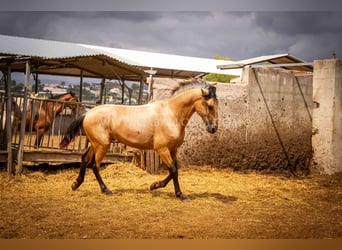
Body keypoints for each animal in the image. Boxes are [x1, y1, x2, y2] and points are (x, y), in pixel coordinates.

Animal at [59, 79, 218, 200]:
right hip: (102, 145)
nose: (214, 128)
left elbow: (174, 170)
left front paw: (155, 185)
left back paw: (76, 184)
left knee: (85, 159)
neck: (171, 114)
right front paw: (179, 195)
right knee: (94, 166)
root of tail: (88, 113)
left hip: (95, 144)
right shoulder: (162, 149)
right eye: (210, 106)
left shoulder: (173, 149)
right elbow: (173, 170)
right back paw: (106, 190)